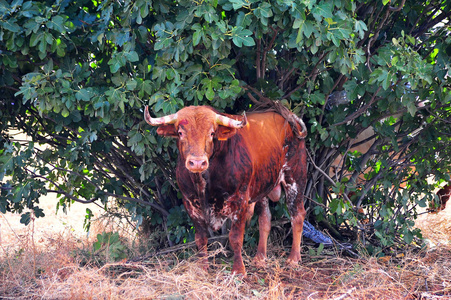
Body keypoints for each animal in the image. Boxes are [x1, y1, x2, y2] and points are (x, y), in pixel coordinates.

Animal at [145, 105, 308, 274]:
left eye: (211, 133)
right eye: (180, 132)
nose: (197, 162)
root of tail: (290, 118)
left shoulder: (240, 201)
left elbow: (235, 238)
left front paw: (238, 270)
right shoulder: (190, 203)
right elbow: (201, 238)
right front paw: (203, 268)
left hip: (295, 177)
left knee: (297, 215)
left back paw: (293, 258)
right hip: (261, 184)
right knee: (265, 218)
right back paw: (260, 258)